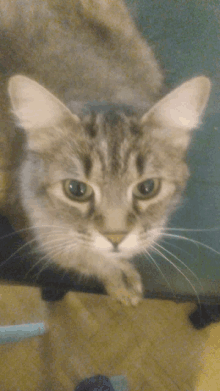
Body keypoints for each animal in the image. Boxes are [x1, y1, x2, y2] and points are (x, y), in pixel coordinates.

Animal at [0, 0, 211, 306]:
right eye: (76, 189)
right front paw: (115, 272)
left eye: (147, 188)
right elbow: (70, 251)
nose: (116, 237)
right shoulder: (37, 217)